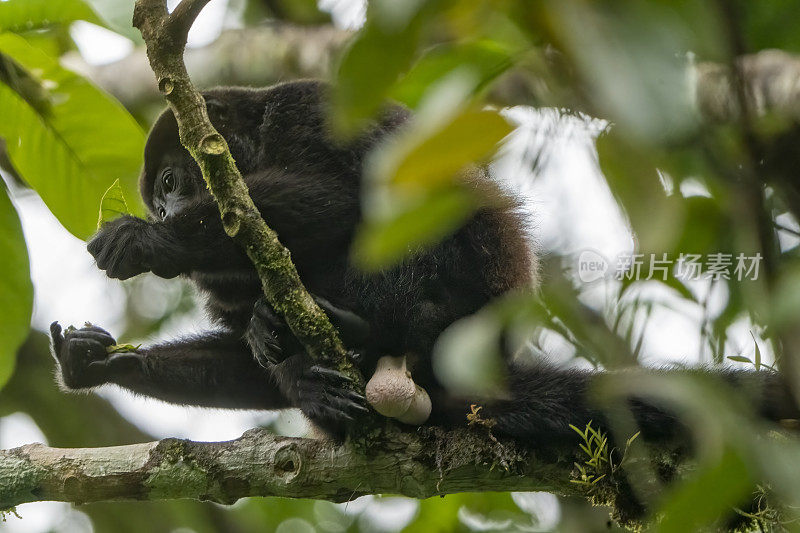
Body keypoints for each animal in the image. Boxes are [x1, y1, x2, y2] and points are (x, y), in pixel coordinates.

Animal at [51, 80, 800, 444]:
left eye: (173, 181)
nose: (166, 211)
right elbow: (240, 351)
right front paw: (100, 363)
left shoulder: (307, 109)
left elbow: (342, 195)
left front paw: (146, 244)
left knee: (413, 217)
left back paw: (366, 328)